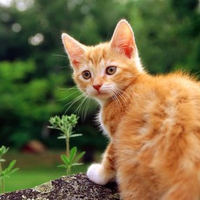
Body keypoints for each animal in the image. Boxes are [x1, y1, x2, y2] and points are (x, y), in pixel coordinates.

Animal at [61, 19, 200, 199]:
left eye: (111, 70)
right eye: (86, 74)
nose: (97, 85)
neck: (127, 89)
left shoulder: (118, 133)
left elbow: (112, 154)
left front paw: (99, 174)